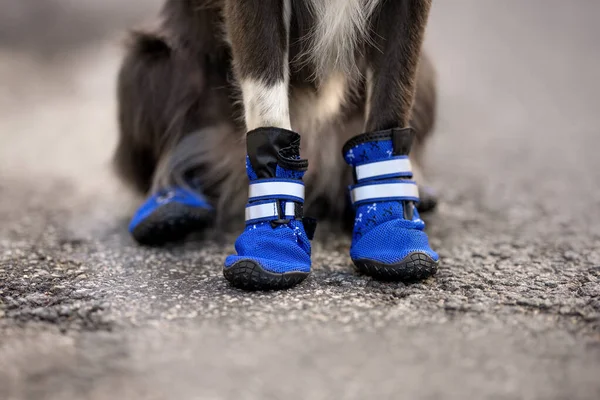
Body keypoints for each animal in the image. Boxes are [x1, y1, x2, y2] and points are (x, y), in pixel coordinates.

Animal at [115, 0, 438, 290]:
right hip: (151, 63)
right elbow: (268, 103)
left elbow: (392, 99)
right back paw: (169, 206)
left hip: (426, 76)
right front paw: (273, 241)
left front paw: (390, 220)